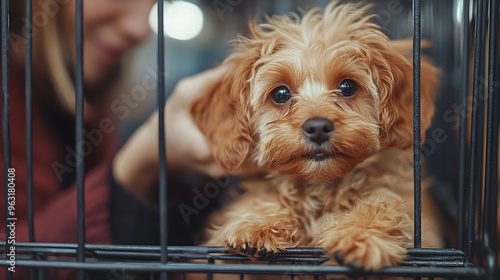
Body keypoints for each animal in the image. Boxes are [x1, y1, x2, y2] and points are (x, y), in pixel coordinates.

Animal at [190, 0, 442, 276]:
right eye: (280, 93)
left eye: (347, 87)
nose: (318, 127)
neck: (319, 187)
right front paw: (256, 223)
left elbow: (384, 204)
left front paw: (361, 234)